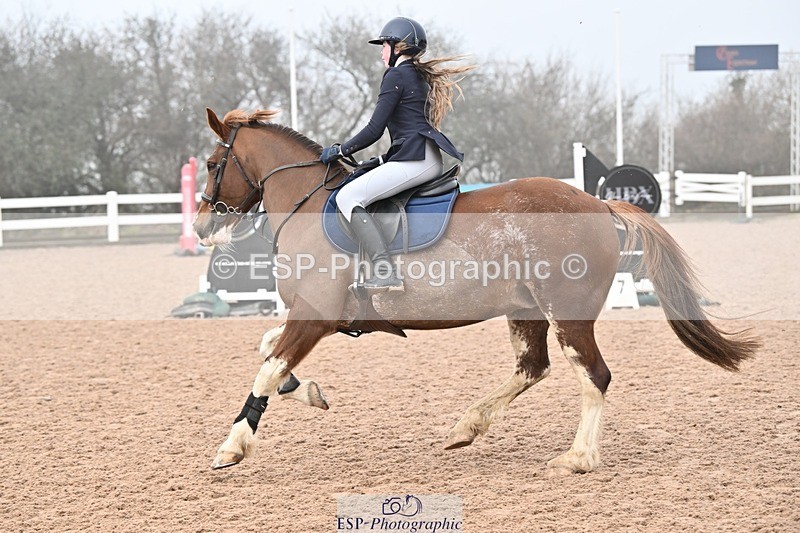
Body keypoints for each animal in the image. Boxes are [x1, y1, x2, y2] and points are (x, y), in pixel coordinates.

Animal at [193, 108, 759, 475]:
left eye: (212, 164)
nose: (200, 225)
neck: (308, 206)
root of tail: (597, 204)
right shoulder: (316, 317)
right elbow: (269, 350)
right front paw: (307, 391)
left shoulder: (313, 316)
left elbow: (267, 368)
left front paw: (233, 446)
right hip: (526, 310)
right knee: (532, 368)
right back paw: (467, 427)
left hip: (567, 315)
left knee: (593, 376)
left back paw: (577, 458)